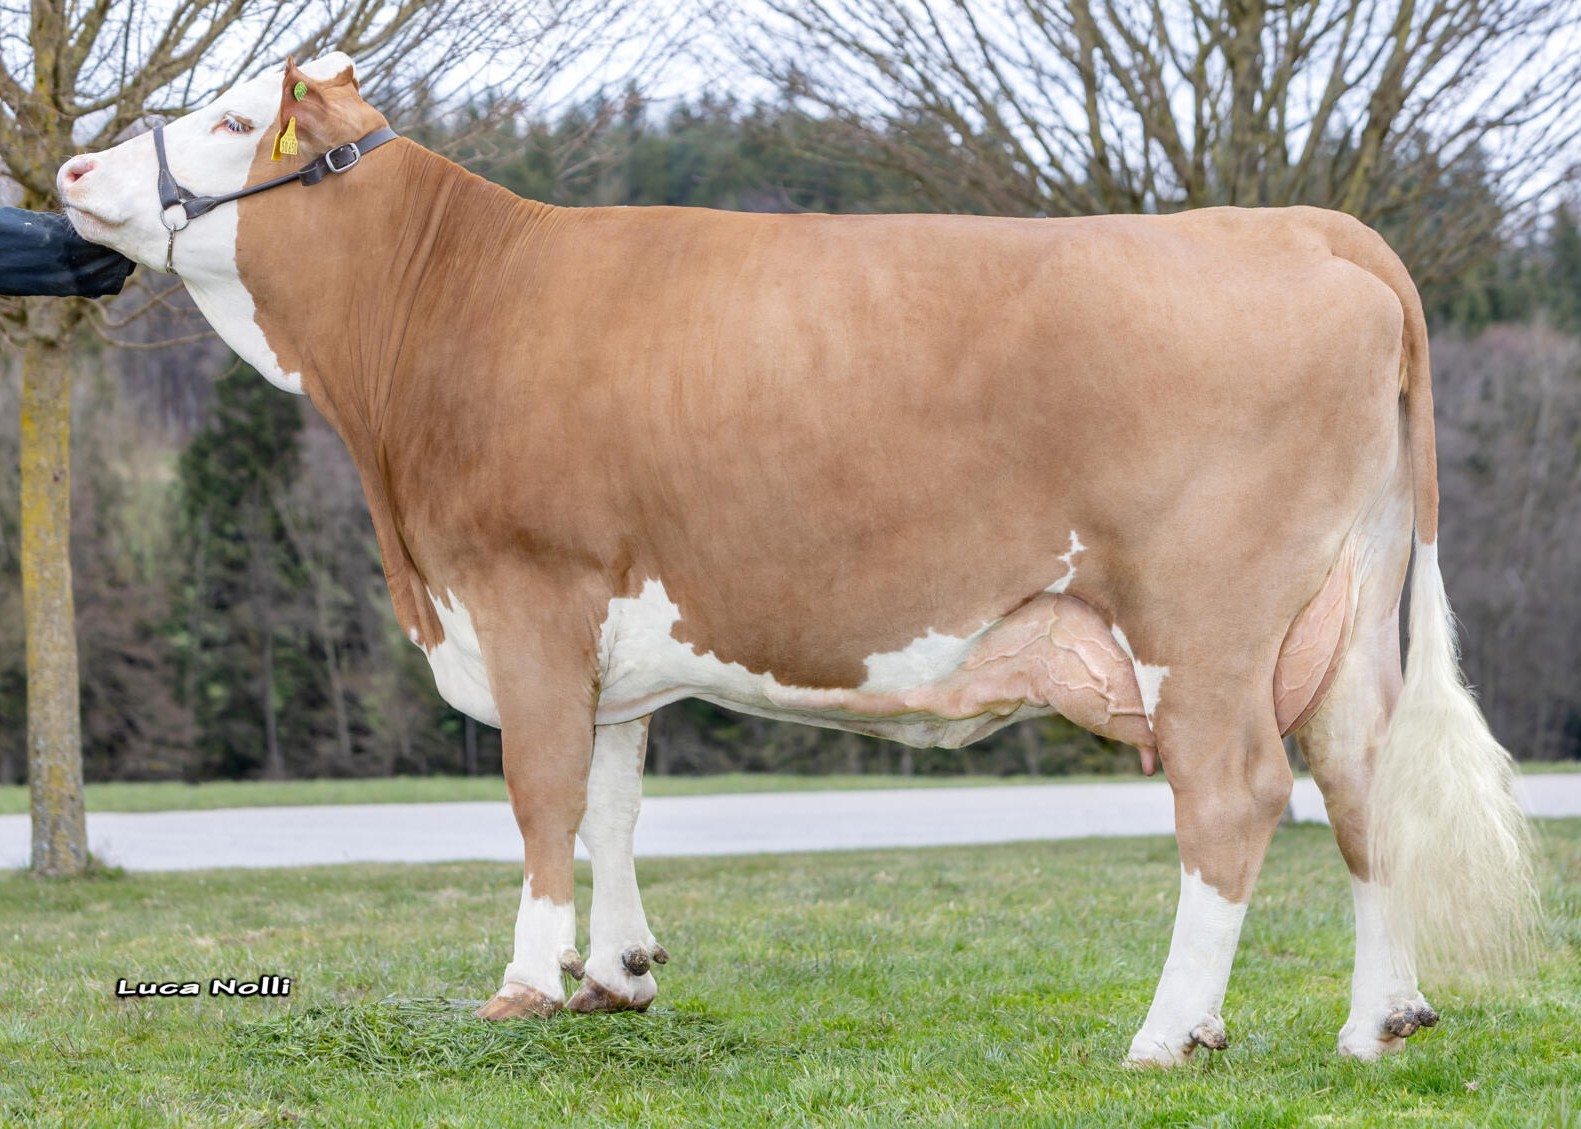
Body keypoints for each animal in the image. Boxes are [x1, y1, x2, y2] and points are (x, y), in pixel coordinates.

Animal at [58, 53, 1535, 1065]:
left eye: (233, 120)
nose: (69, 173)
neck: (457, 310)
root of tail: (1299, 224)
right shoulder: (610, 628)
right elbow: (611, 799)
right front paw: (619, 974)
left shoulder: (527, 591)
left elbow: (541, 797)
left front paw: (527, 984)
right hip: (1345, 615)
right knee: (1361, 784)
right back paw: (1377, 1023)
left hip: (1206, 618)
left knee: (1235, 796)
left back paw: (1170, 1034)